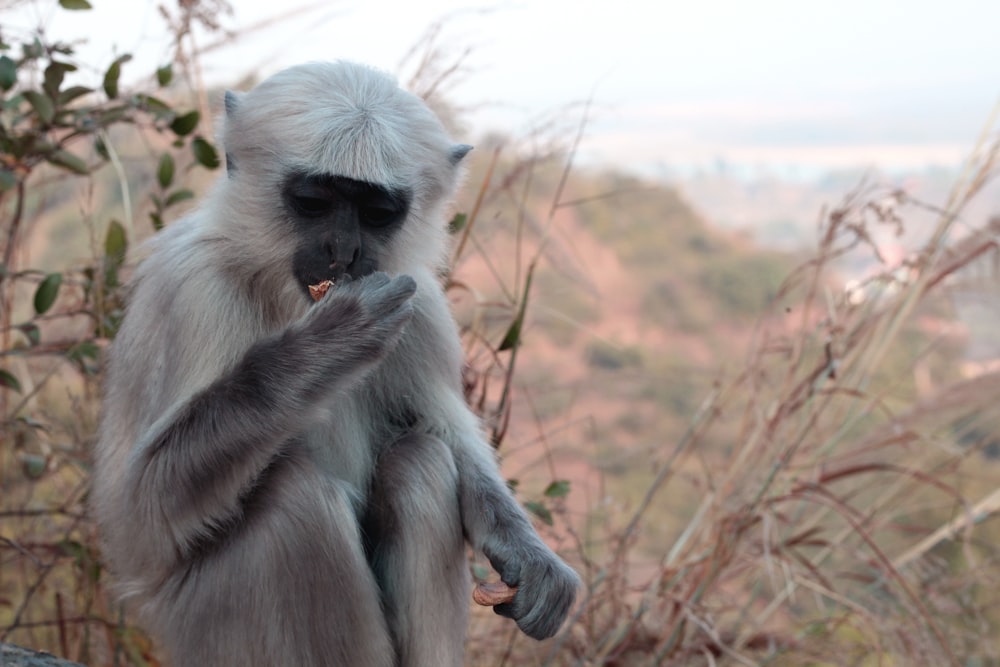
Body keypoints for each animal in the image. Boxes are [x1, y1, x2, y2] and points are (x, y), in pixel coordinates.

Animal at [90, 61, 584, 667]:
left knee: (419, 461)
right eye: (313, 201)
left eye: (376, 213)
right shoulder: (195, 286)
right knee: (297, 497)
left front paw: (529, 555)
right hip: (203, 627)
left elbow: (444, 430)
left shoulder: (418, 302)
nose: (342, 252)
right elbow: (144, 513)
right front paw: (331, 344)